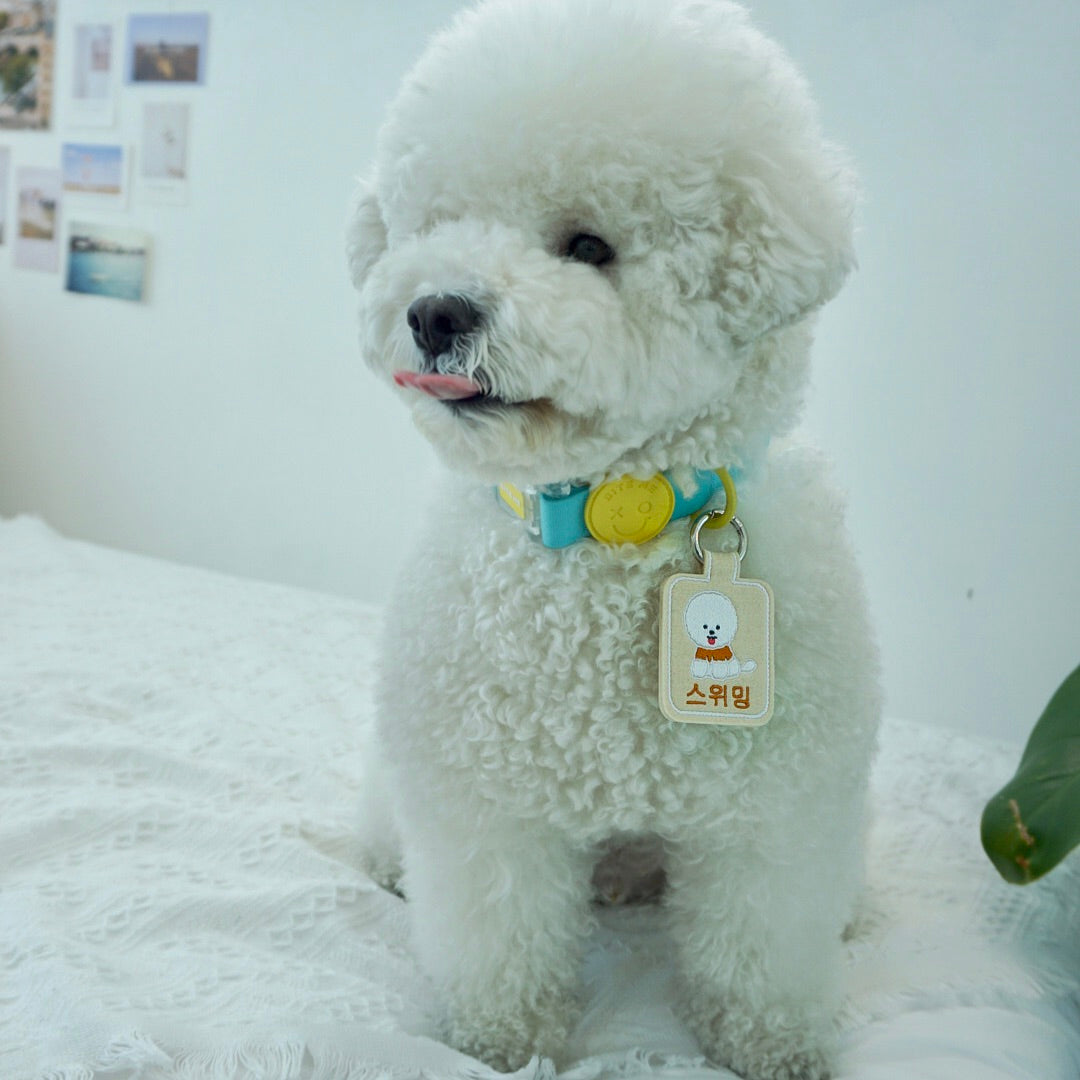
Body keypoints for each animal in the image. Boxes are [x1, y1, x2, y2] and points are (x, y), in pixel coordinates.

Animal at [348, 2, 881, 1077]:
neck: (606, 528)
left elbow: (762, 951)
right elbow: (499, 933)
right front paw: (500, 1041)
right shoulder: (485, 802)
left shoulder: (777, 809)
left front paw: (772, 1048)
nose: (435, 310)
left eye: (588, 246)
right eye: (433, 226)